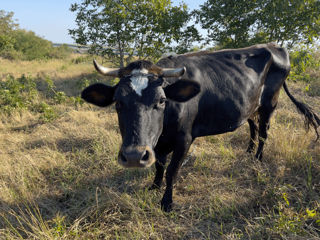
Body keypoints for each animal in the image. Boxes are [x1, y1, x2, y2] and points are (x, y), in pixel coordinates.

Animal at [81, 43, 318, 212]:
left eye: (161, 100)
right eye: (118, 102)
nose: (132, 156)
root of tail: (275, 46)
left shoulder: (184, 139)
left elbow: (172, 171)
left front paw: (166, 202)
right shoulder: (156, 144)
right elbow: (159, 165)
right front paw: (154, 187)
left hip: (270, 103)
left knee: (264, 132)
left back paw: (258, 158)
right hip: (250, 105)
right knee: (252, 125)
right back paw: (248, 152)